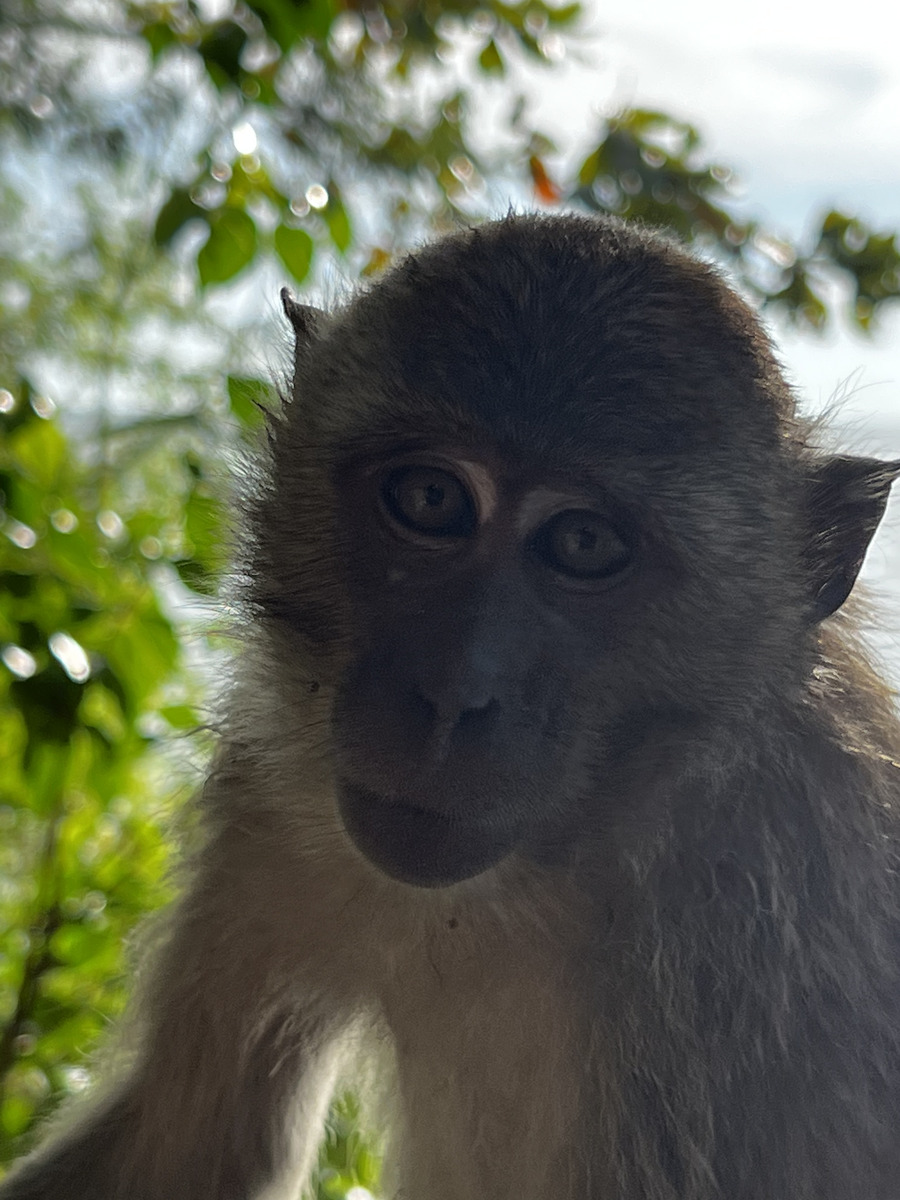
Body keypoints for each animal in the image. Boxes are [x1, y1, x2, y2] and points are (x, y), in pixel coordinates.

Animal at [1, 216, 900, 1200]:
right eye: (432, 498)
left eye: (583, 543)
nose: (453, 695)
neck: (559, 867)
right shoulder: (272, 796)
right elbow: (190, 1141)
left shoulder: (761, 917)